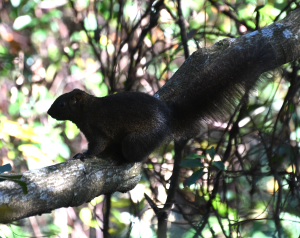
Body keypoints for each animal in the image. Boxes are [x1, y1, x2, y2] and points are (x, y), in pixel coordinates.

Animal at [47, 40, 276, 164]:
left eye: (61, 104)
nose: (49, 112)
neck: (87, 109)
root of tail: (168, 119)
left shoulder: (95, 128)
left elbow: (97, 146)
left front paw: (83, 154)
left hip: (137, 139)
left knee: (136, 154)